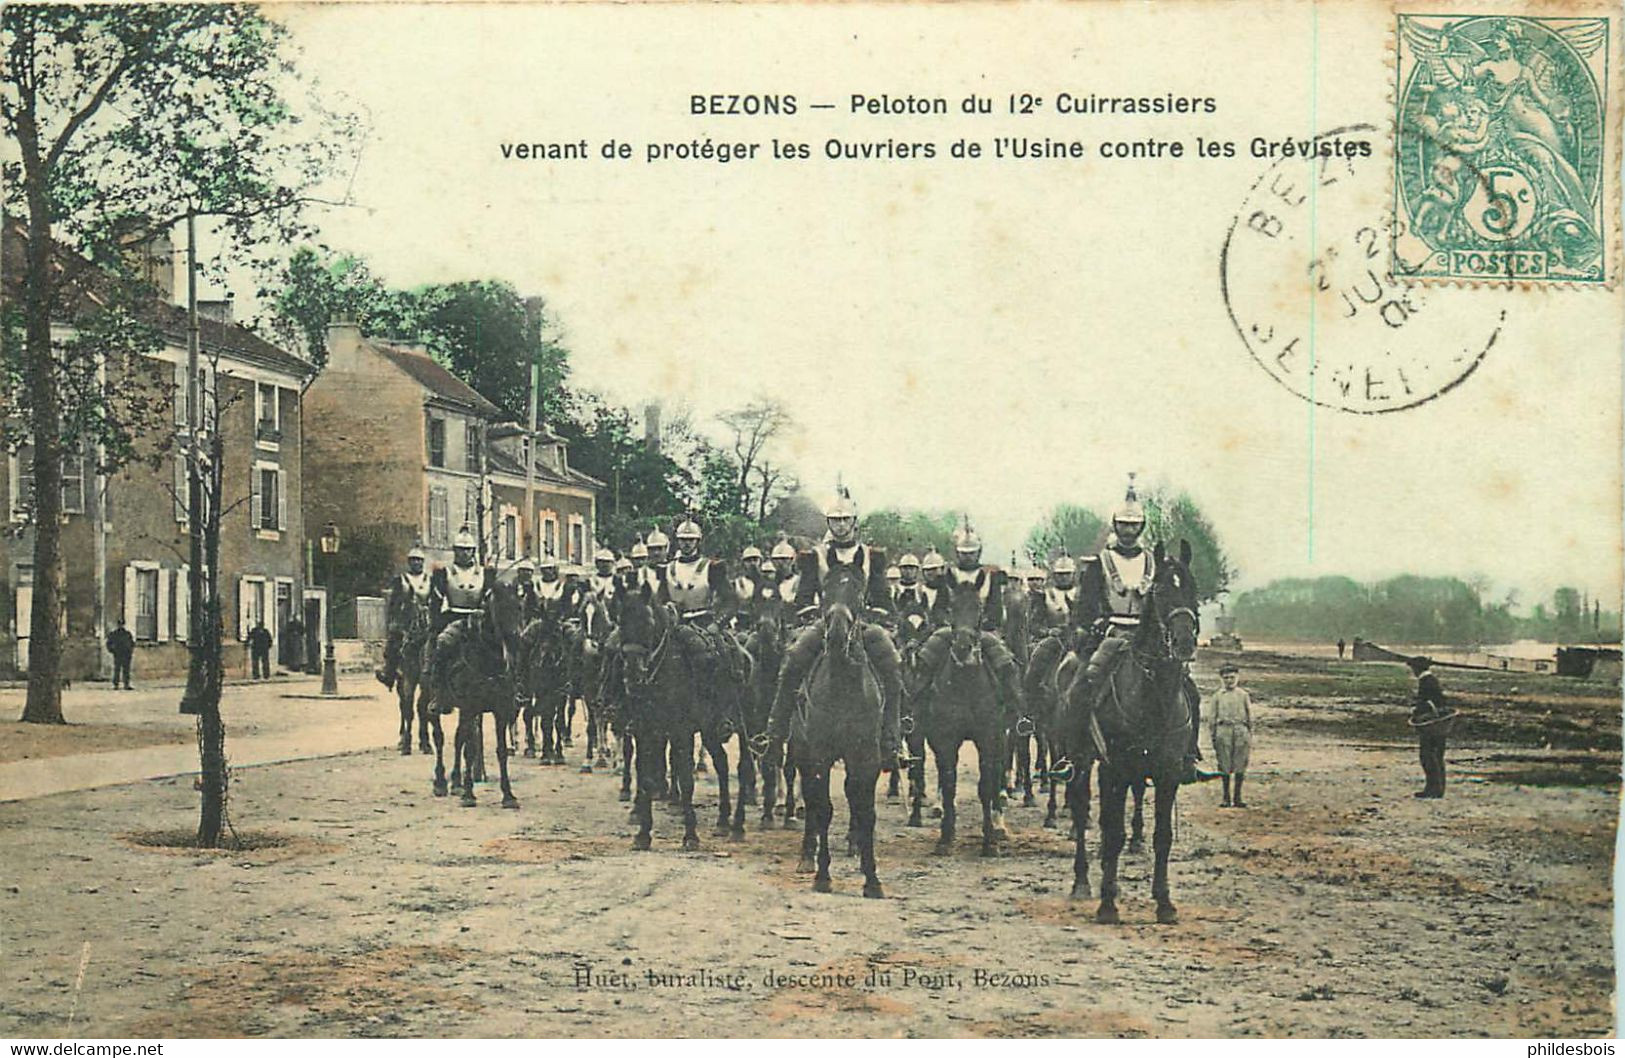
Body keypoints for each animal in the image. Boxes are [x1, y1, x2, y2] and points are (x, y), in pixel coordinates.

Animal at [429, 578, 523, 812]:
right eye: (499, 608)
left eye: (519, 607)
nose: (515, 640)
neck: (488, 660)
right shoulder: (471, 707)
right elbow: (470, 750)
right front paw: (469, 794)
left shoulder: (500, 710)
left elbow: (500, 750)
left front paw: (508, 795)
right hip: (433, 702)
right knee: (439, 737)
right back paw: (441, 782)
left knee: (458, 739)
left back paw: (456, 782)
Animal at [1059, 542, 1202, 923]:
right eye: (1161, 590)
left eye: (1193, 589)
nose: (1184, 643)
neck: (1152, 698)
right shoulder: (1115, 771)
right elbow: (1113, 834)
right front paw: (1108, 904)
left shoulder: (1167, 773)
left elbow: (1162, 836)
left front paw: (1164, 903)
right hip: (1082, 762)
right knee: (1081, 810)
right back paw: (1082, 883)